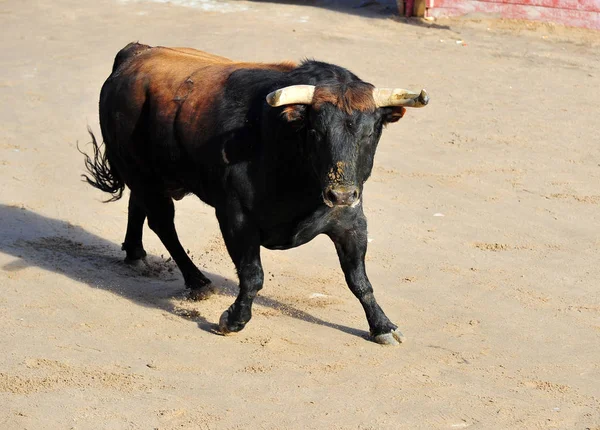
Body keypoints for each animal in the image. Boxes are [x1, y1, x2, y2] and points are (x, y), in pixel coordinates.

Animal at [82, 42, 428, 346]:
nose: (340, 194)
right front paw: (233, 320)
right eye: (316, 132)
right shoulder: (235, 217)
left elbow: (359, 280)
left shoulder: (351, 221)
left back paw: (136, 254)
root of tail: (135, 53)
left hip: (149, 174)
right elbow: (252, 275)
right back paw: (197, 282)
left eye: (371, 133)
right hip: (139, 170)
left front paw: (383, 326)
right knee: (162, 223)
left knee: (137, 206)